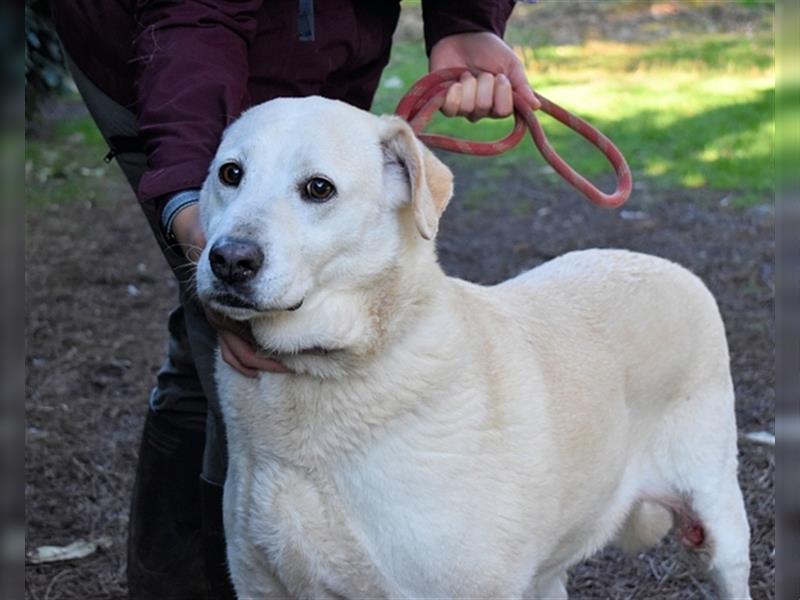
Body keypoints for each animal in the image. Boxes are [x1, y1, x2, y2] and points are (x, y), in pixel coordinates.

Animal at [194, 96, 752, 596]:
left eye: (318, 188)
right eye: (230, 174)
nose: (229, 260)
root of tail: (663, 263)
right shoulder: (260, 585)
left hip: (721, 524)